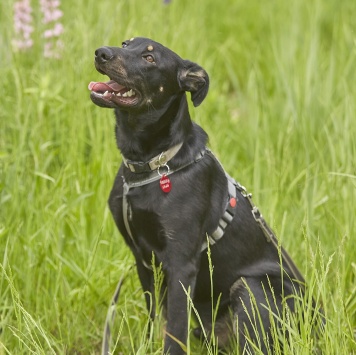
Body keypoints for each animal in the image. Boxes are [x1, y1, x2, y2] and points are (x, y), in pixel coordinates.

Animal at [88, 37, 306, 354]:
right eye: (125, 43)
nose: (101, 53)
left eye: (150, 58)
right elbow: (157, 321)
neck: (152, 165)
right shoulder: (144, 260)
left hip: (251, 288)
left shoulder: (181, 264)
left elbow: (174, 331)